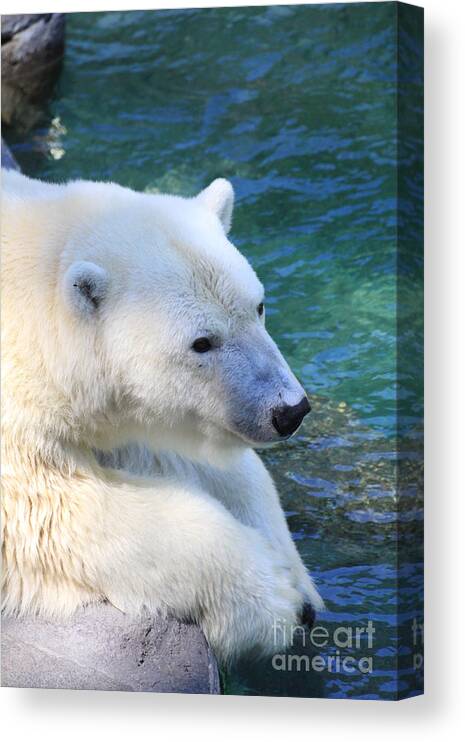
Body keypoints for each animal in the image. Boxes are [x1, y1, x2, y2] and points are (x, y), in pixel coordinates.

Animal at [0, 171, 322, 664]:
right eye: (202, 342)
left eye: (259, 306)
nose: (289, 410)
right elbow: (62, 512)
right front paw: (275, 602)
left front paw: (299, 582)